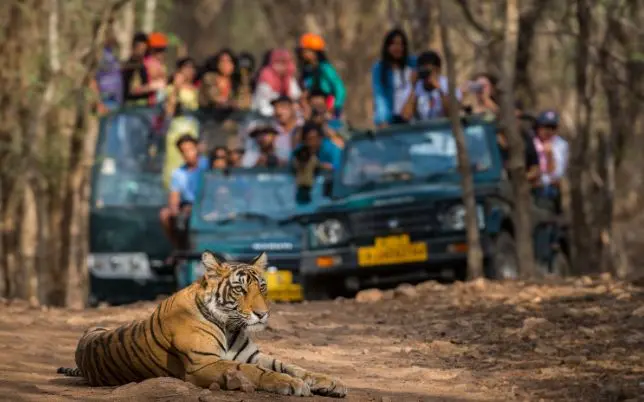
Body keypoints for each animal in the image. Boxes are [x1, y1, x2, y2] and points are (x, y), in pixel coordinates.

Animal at [57, 251, 347, 398]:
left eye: (262, 287)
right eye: (240, 290)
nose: (262, 314)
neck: (230, 326)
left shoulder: (252, 354)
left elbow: (291, 365)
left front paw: (329, 381)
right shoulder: (204, 363)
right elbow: (258, 372)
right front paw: (292, 384)